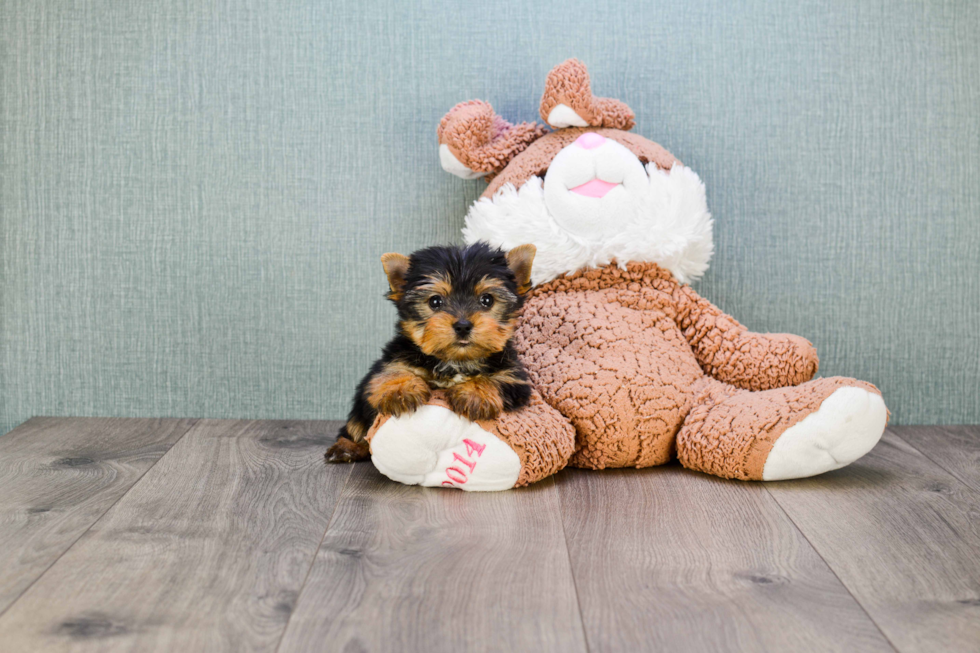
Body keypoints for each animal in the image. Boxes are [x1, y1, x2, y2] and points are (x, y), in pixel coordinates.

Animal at [326, 241, 536, 464]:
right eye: (435, 302)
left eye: (487, 300)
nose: (463, 325)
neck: (454, 360)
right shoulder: (393, 358)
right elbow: (392, 371)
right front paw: (400, 390)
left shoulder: (515, 377)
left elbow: (497, 379)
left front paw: (475, 394)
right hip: (359, 409)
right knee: (356, 423)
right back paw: (348, 447)